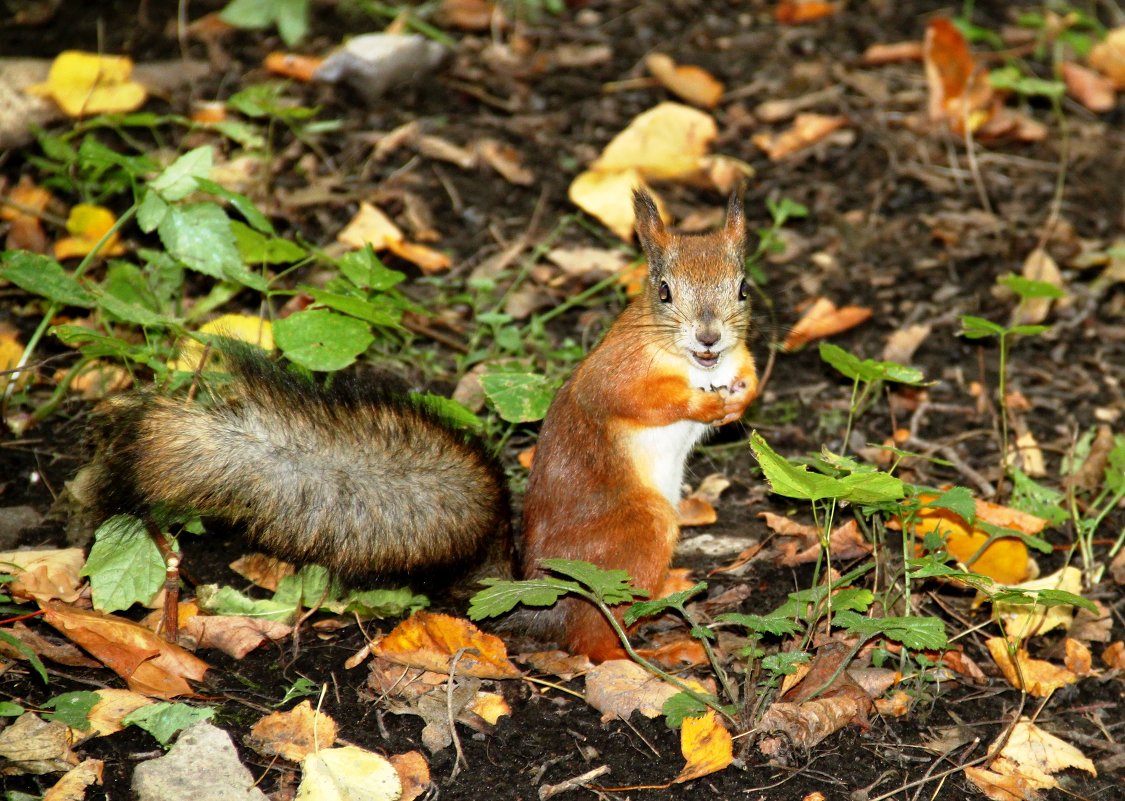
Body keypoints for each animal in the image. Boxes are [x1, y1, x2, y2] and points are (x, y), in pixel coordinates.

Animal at [522, 191, 760, 661]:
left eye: (743, 288)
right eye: (664, 291)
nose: (709, 337)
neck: (698, 365)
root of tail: (546, 604)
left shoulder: (740, 359)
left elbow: (752, 378)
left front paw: (738, 403)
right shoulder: (616, 372)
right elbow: (634, 399)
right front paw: (702, 405)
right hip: (639, 535)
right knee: (595, 640)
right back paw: (653, 654)